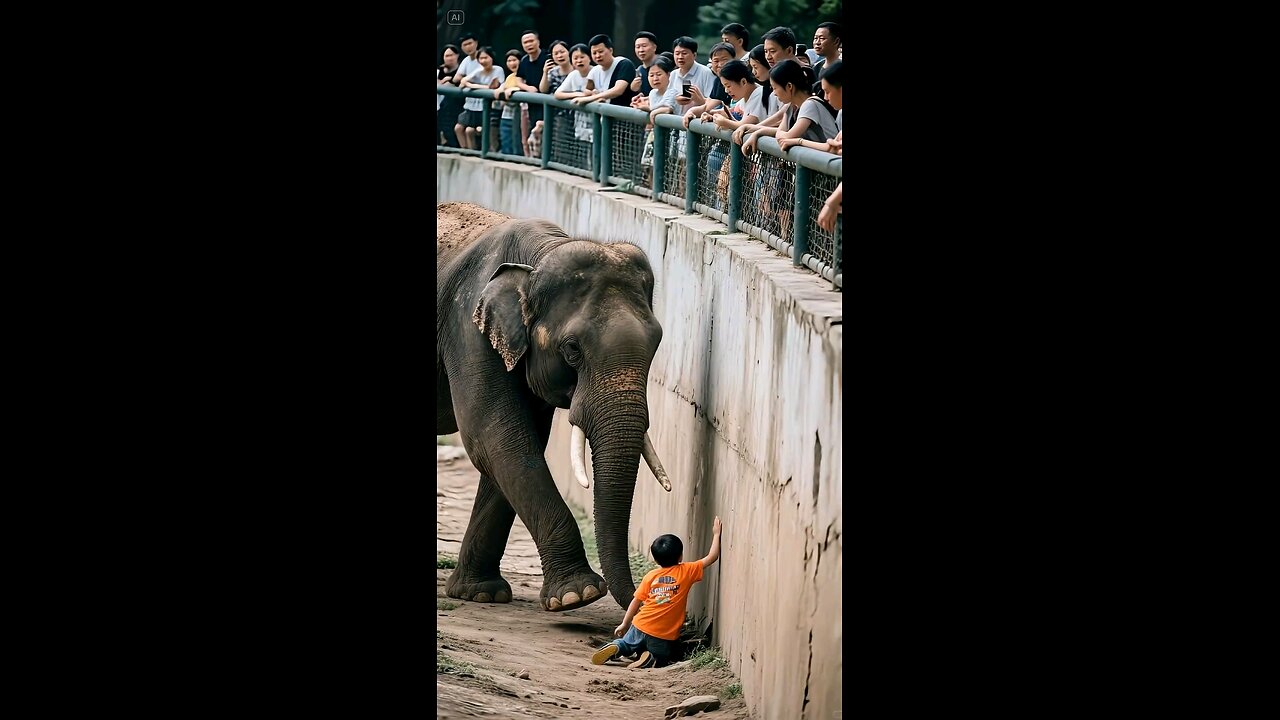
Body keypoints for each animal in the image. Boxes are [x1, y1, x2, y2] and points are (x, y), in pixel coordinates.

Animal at [437, 202, 672, 612]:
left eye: (657, 341)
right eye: (572, 349)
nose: (641, 601)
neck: (540, 255)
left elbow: (517, 440)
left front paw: (480, 593)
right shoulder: (466, 327)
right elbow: (494, 436)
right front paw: (578, 595)